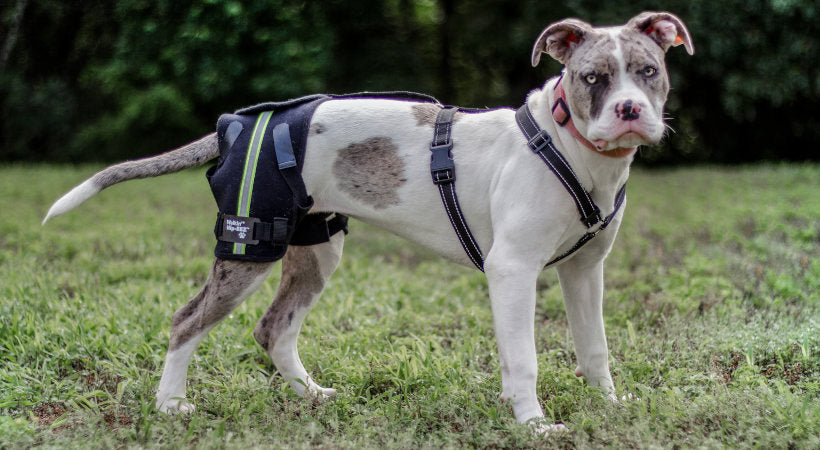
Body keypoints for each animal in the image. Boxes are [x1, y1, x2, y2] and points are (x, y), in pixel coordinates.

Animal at [43, 10, 692, 432]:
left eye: (648, 71)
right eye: (592, 77)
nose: (629, 110)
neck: (568, 147)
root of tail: (233, 125)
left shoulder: (585, 270)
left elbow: (595, 348)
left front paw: (609, 408)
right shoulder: (512, 272)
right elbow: (523, 358)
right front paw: (533, 425)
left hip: (314, 251)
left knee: (272, 329)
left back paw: (310, 395)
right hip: (250, 248)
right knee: (186, 321)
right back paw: (170, 405)